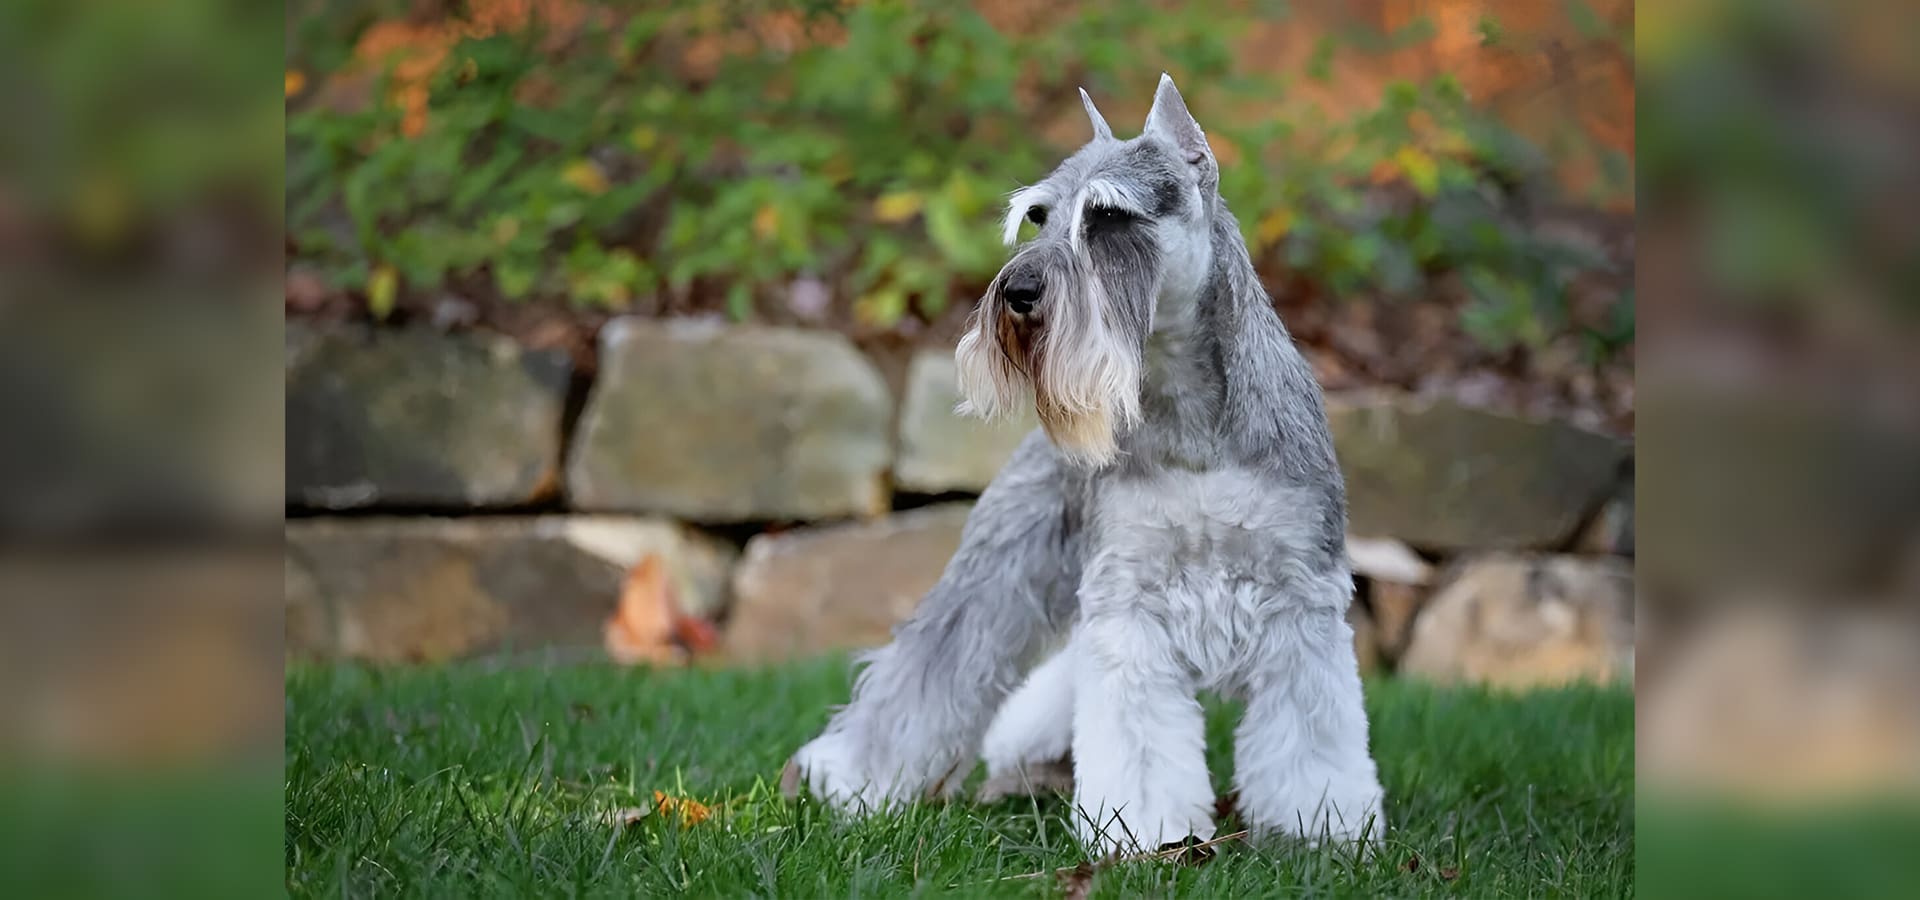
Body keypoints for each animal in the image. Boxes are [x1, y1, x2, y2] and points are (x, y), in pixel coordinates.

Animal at [779, 73, 1382, 852]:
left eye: (1108, 216)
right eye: (1039, 216)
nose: (1017, 294)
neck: (1188, 412)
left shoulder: (1301, 598)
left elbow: (1313, 736)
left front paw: (1325, 827)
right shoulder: (1128, 601)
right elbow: (1136, 741)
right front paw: (1142, 831)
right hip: (998, 574)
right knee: (925, 672)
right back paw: (849, 779)